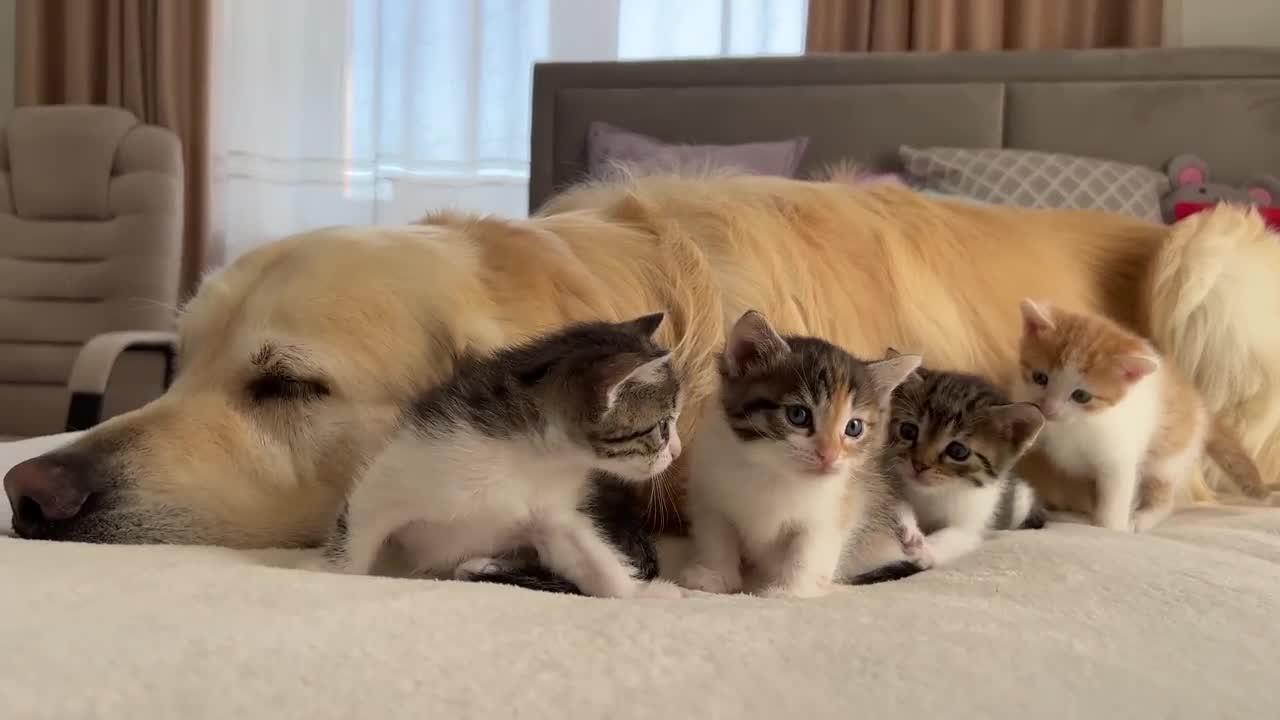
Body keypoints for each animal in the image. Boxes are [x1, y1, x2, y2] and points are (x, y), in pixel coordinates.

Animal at [327, 311, 691, 597]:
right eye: (662, 426)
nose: (677, 452)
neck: (530, 462)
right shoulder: (393, 478)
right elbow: (355, 544)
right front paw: (336, 576)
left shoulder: (550, 512)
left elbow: (589, 556)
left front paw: (644, 593)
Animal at [680, 311, 921, 597]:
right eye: (798, 415)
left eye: (854, 427)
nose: (829, 455)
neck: (773, 470)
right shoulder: (709, 491)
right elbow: (716, 535)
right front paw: (716, 575)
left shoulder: (836, 505)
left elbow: (810, 549)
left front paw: (789, 592)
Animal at [880, 348, 1049, 566]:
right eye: (908, 431)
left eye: (958, 451)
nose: (918, 465)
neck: (932, 494)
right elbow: (895, 501)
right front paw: (909, 528)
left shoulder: (974, 523)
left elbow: (957, 536)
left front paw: (925, 550)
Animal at [1013, 298, 1264, 532]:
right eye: (1040, 378)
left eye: (1081, 396)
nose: (1049, 409)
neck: (1072, 425)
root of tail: (1199, 404)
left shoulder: (1118, 455)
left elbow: (1117, 493)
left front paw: (1113, 526)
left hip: (1169, 457)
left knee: (1164, 494)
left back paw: (1144, 518)